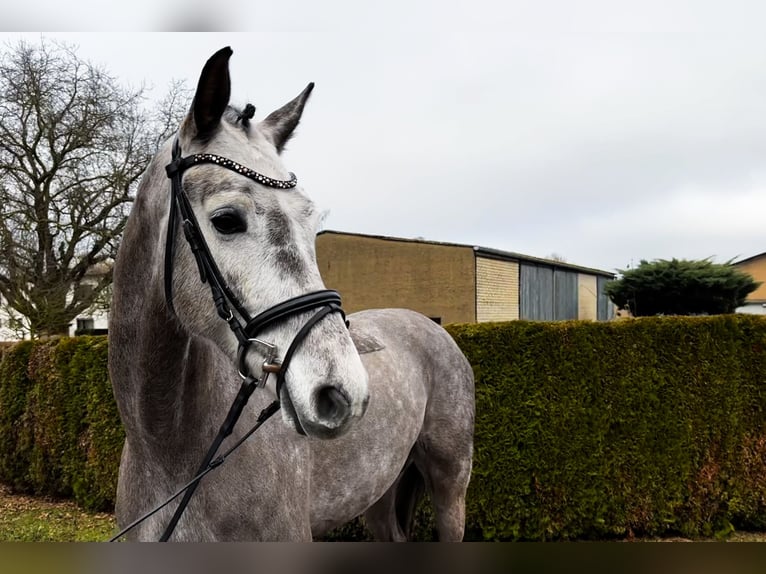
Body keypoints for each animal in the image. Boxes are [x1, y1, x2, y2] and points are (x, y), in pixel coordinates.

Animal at [108, 46, 474, 541]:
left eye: (311, 220)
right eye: (226, 219)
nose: (341, 393)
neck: (168, 450)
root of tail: (429, 326)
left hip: (450, 481)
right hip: (381, 492)